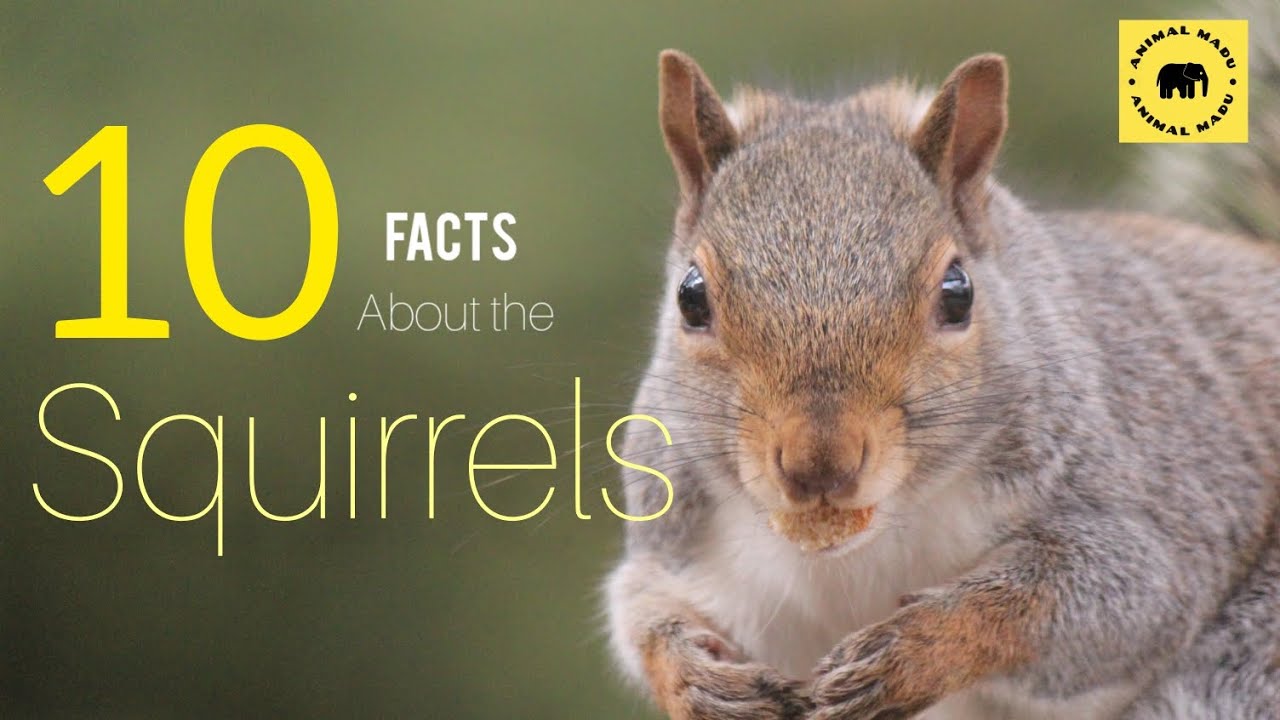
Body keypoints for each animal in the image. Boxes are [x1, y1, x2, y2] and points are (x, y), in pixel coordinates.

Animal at [603, 4, 1280, 719]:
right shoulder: (676, 541)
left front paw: (916, 649)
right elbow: (640, 613)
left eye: (958, 293)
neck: (855, 550)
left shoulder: (1151, 513)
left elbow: (1096, 601)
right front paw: (693, 678)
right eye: (691, 297)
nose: (819, 466)